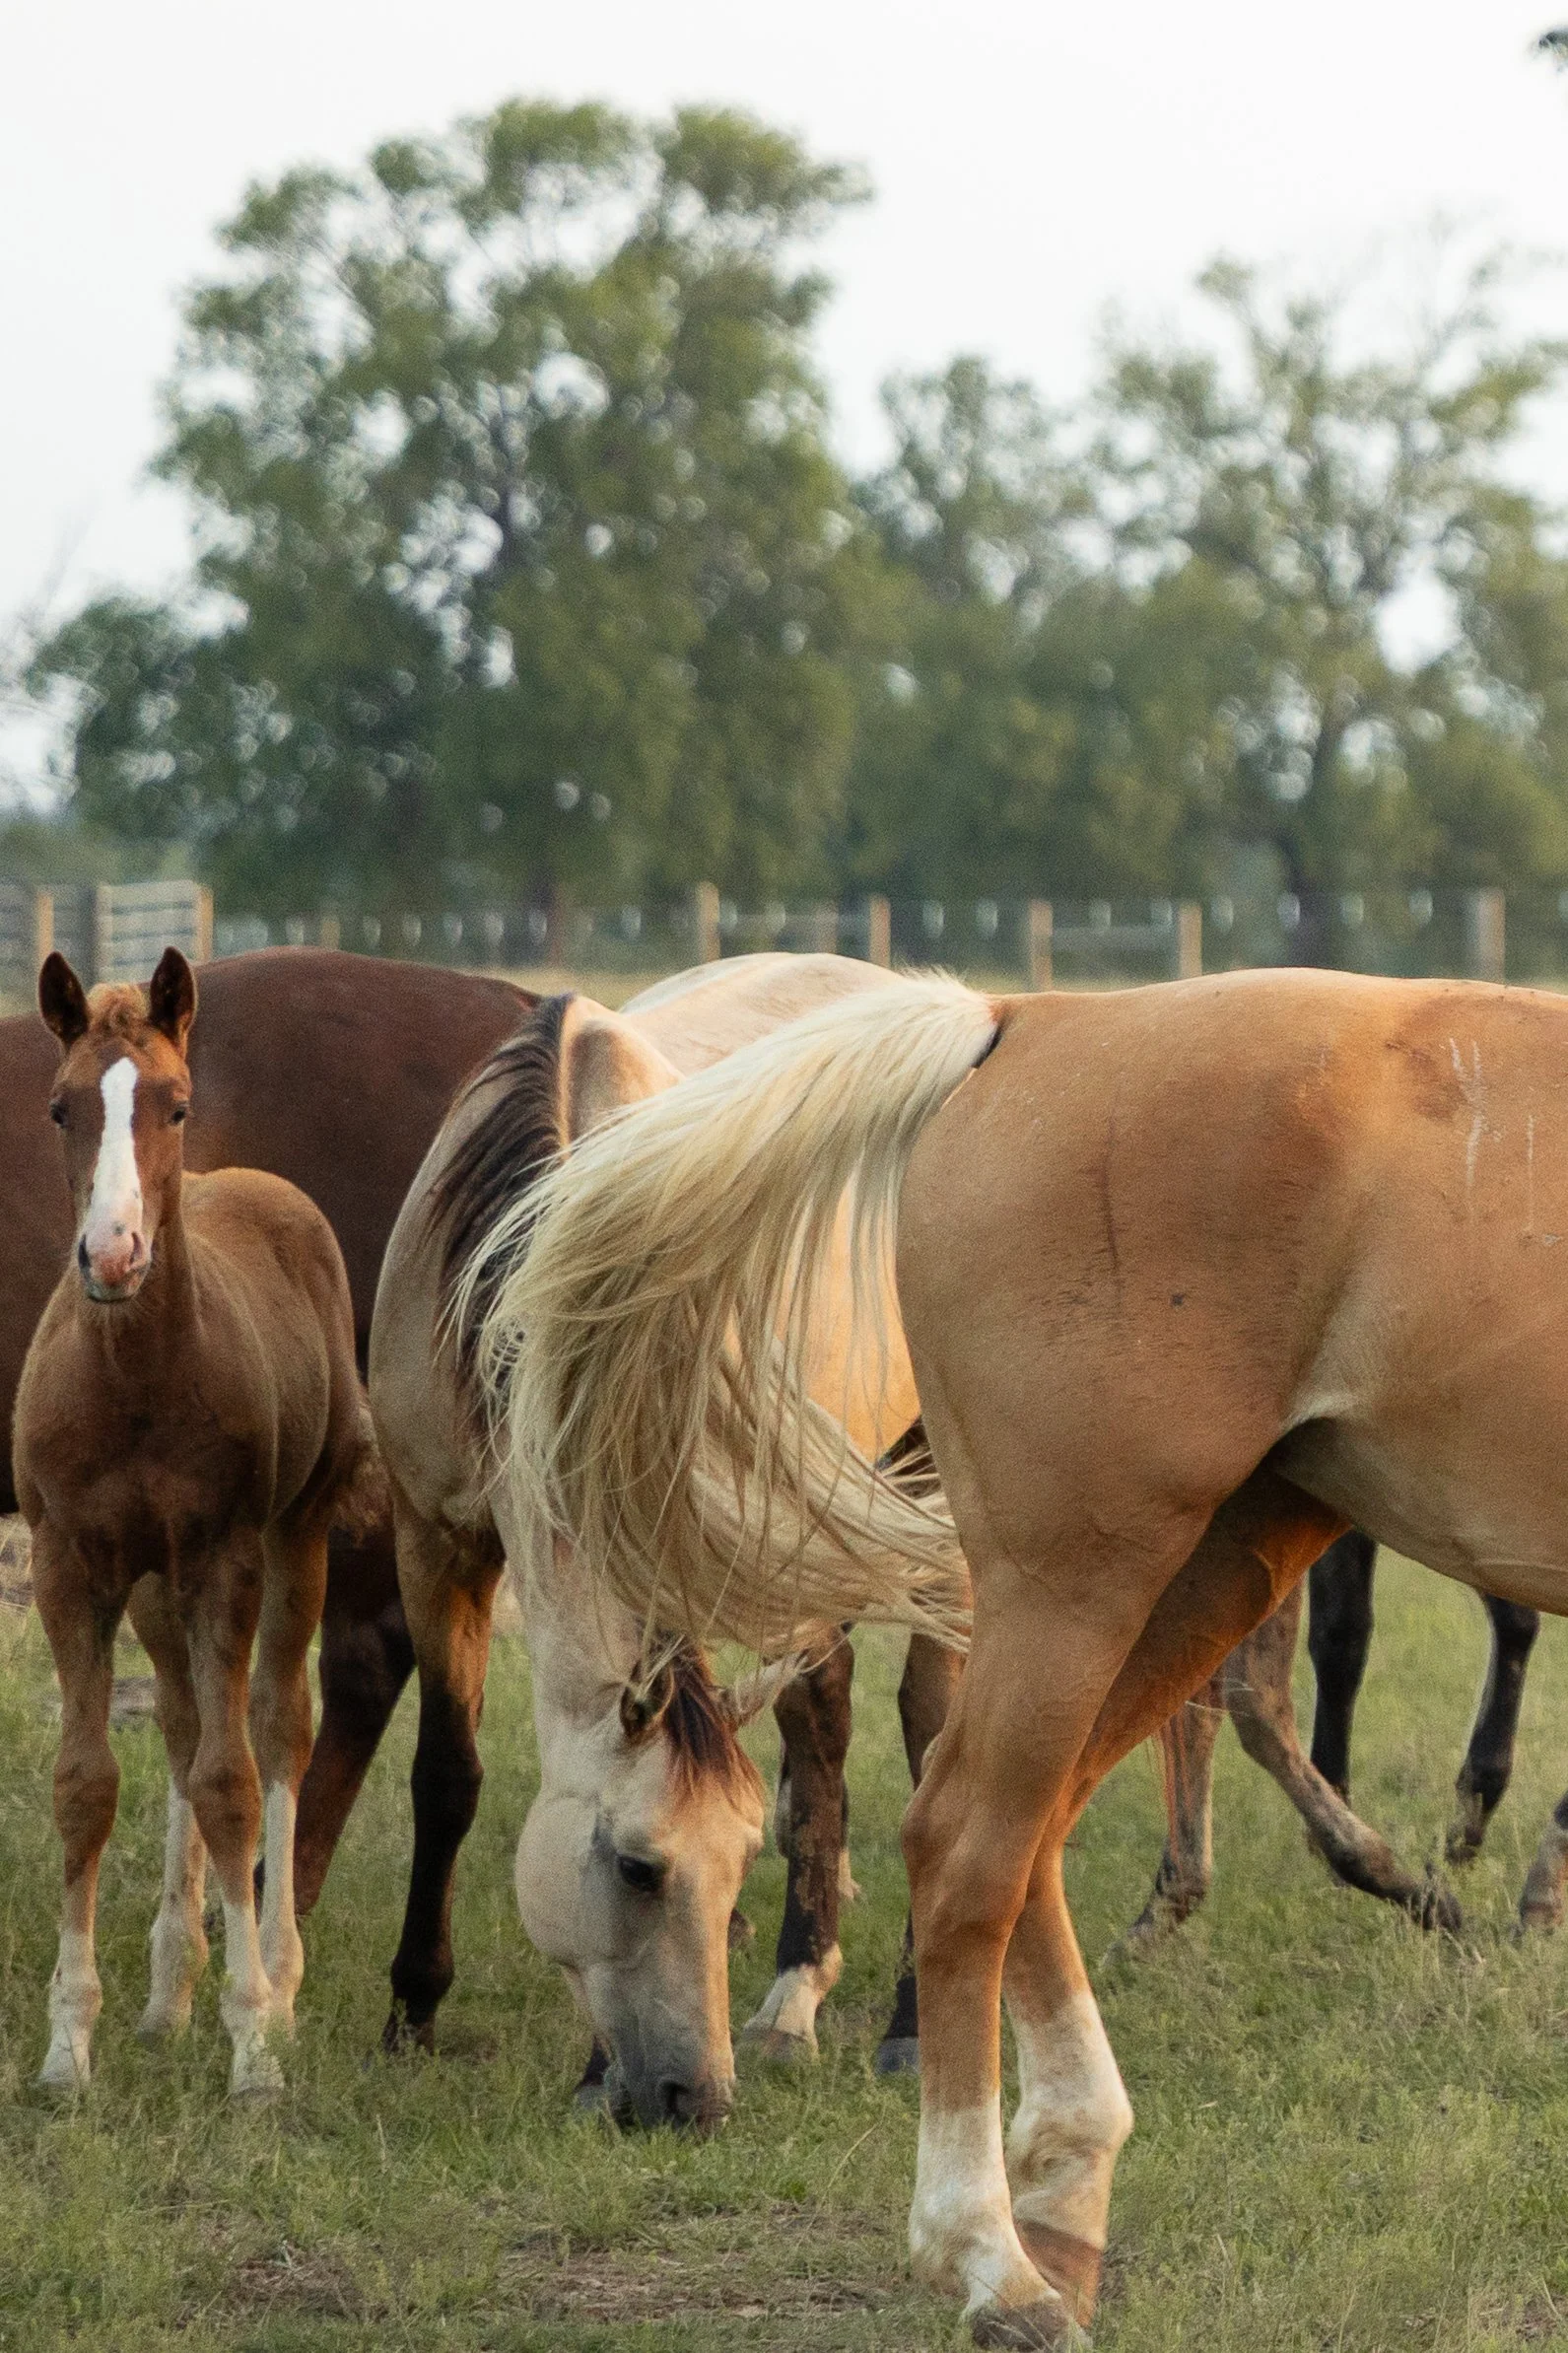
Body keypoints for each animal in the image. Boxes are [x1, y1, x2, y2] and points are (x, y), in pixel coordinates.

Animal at [15, 950, 379, 2098]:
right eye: (60, 1106)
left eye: (176, 1104)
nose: (113, 1253)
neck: (132, 1377)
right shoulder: (70, 1565)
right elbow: (86, 1784)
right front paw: (68, 2046)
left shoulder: (222, 1558)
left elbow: (232, 1781)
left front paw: (253, 2041)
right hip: (150, 1584)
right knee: (180, 1721)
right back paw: (169, 1988)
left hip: (293, 1535)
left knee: (273, 1724)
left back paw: (279, 1976)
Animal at [368, 954, 959, 2120]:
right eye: (639, 1867)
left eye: (732, 1866)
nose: (696, 2099)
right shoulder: (435, 1537)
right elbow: (445, 1774)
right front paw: (411, 2009)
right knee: (822, 1720)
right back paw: (792, 1998)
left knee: (930, 1732)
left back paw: (903, 2018)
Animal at [483, 967, 1568, 2347]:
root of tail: (1019, 1018)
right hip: (1084, 1577)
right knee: (968, 1842)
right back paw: (990, 2254)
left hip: (1204, 1564)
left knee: (1033, 1823)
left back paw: (1063, 2195)